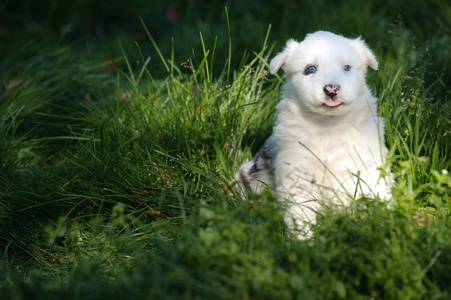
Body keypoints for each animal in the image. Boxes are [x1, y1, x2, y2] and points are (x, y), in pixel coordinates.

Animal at [237, 31, 392, 239]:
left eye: (347, 67)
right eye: (310, 69)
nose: (332, 89)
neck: (328, 126)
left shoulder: (367, 163)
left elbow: (376, 195)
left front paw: (385, 227)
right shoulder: (298, 173)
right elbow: (301, 213)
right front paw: (304, 241)